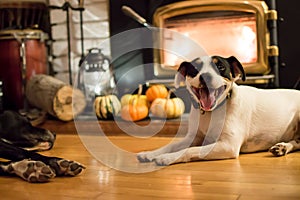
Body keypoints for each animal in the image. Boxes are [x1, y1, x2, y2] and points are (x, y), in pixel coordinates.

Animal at [137, 55, 298, 166]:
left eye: (220, 67)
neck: (211, 112)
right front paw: (151, 153)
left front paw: (167, 157)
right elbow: (171, 145)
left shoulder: (227, 145)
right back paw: (282, 147)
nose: (205, 76)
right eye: (195, 68)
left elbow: (191, 150)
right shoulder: (193, 138)